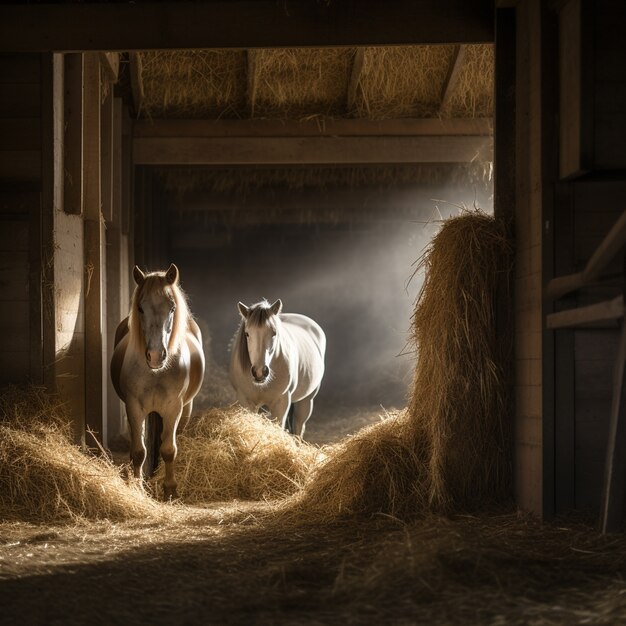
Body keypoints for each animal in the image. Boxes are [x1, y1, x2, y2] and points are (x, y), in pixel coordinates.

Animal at [109, 264, 202, 498]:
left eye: (172, 308)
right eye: (140, 309)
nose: (155, 356)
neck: (156, 373)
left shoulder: (173, 408)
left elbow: (168, 449)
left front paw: (170, 489)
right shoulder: (134, 407)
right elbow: (139, 451)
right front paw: (138, 486)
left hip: (185, 409)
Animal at [229, 298, 326, 436]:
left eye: (274, 333)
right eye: (247, 334)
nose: (260, 372)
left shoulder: (281, 403)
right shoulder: (245, 401)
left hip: (306, 400)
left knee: (299, 427)